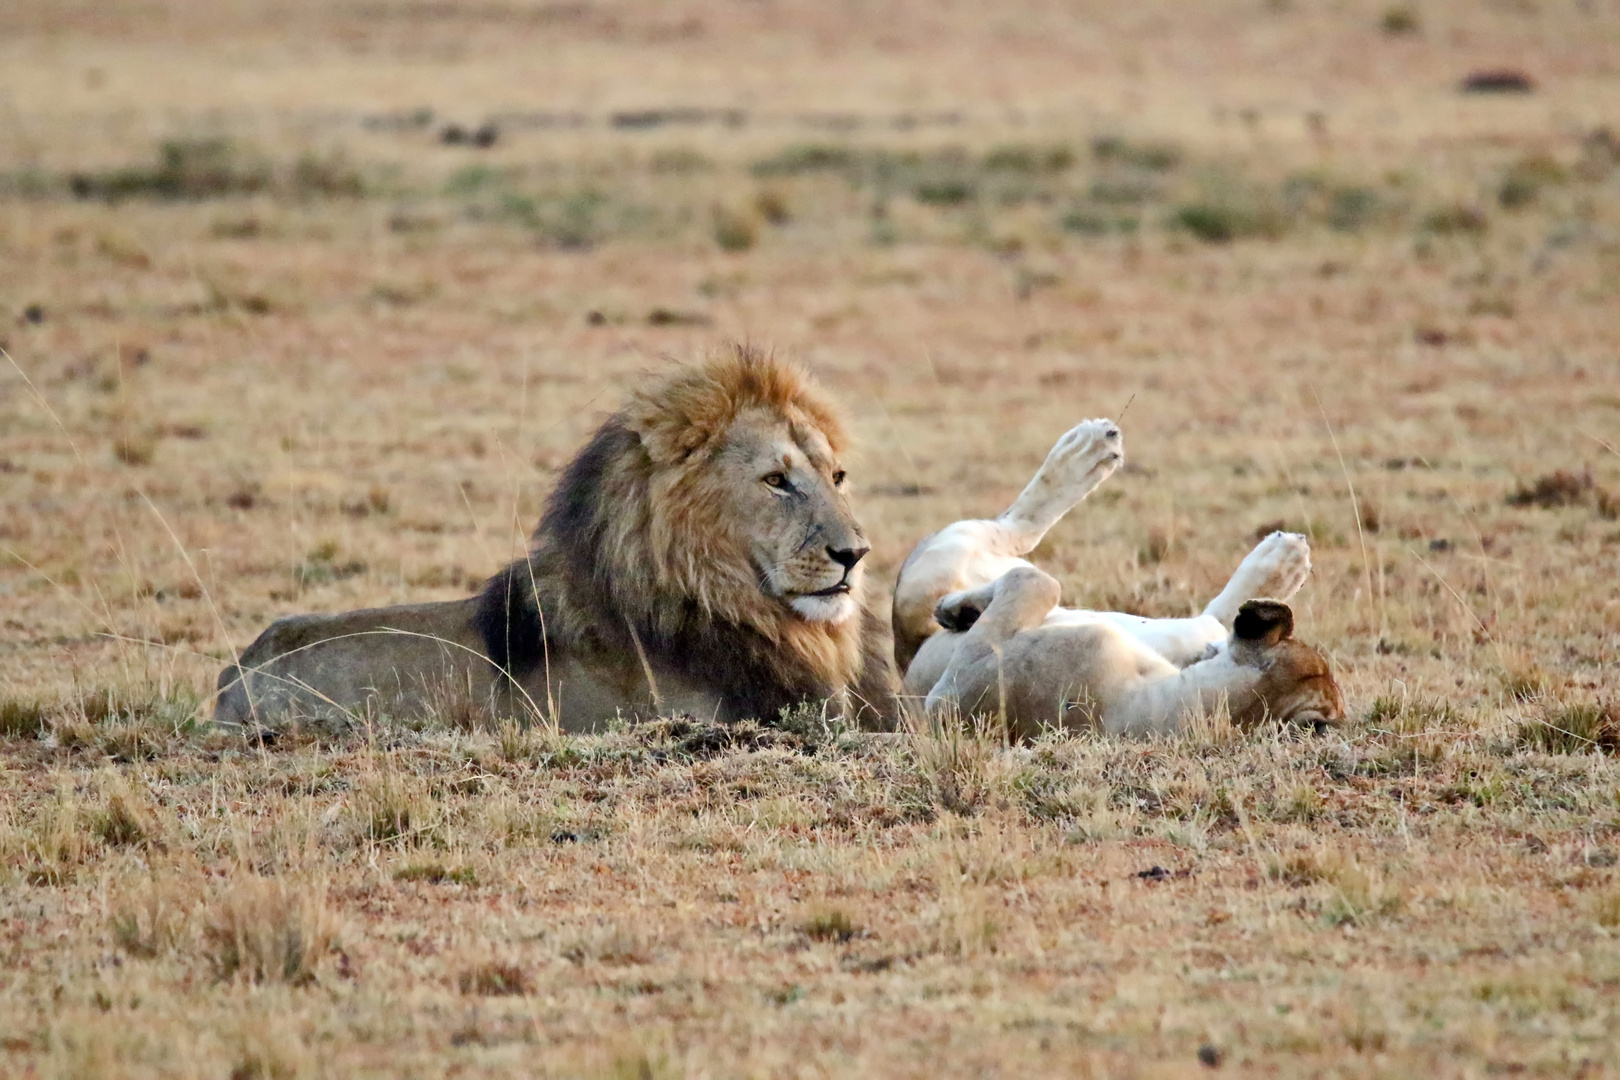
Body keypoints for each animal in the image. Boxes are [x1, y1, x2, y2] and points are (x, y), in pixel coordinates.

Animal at [900, 417, 1341, 738]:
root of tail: (904, 648)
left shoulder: (951, 698)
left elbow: (1036, 579)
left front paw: (957, 608)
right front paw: (962, 611)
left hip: (948, 554)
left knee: (1016, 527)